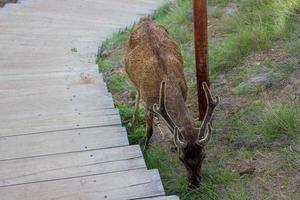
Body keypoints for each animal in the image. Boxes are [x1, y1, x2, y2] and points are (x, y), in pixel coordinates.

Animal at [123, 17, 219, 186]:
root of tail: (145, 19)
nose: (195, 183)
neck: (167, 82)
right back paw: (133, 121)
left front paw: (172, 142)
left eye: (204, 156)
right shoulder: (148, 104)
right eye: (181, 159)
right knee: (137, 93)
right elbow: (149, 130)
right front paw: (145, 150)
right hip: (129, 74)